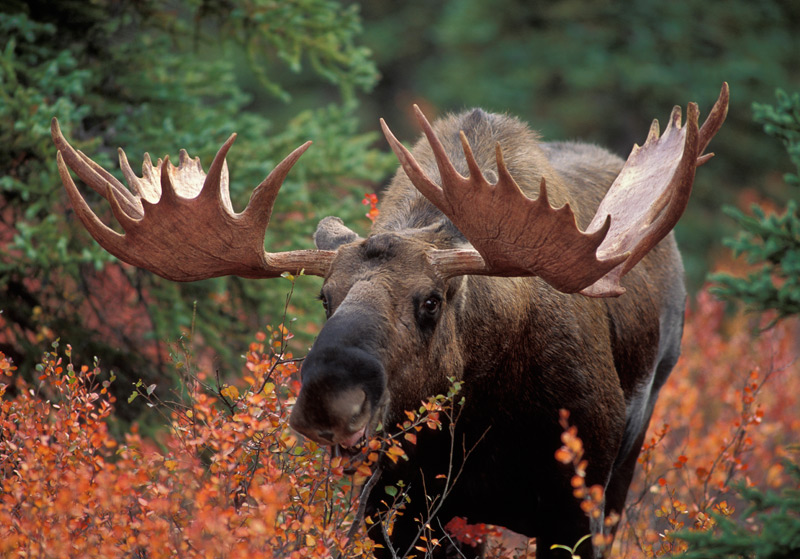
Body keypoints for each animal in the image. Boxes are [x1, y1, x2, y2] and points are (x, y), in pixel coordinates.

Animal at [52, 84, 728, 558]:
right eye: (325, 297)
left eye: (431, 300)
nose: (329, 398)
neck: (480, 420)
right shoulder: (395, 510)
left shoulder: (574, 507)